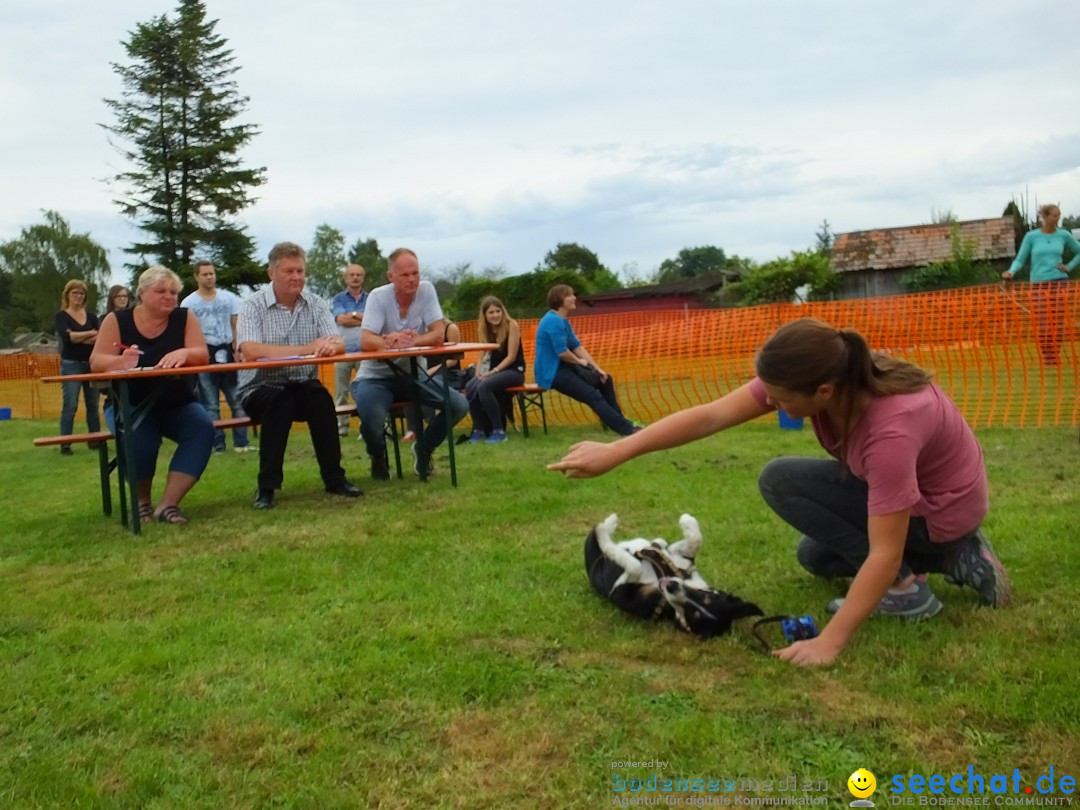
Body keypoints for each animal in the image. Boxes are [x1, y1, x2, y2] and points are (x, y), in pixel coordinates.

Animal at [583, 514, 760, 639]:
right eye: (707, 597)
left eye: (691, 613)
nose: (671, 586)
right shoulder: (680, 558)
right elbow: (695, 540)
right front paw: (687, 520)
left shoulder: (620, 592)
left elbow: (635, 566)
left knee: (595, 535)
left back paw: (606, 527)